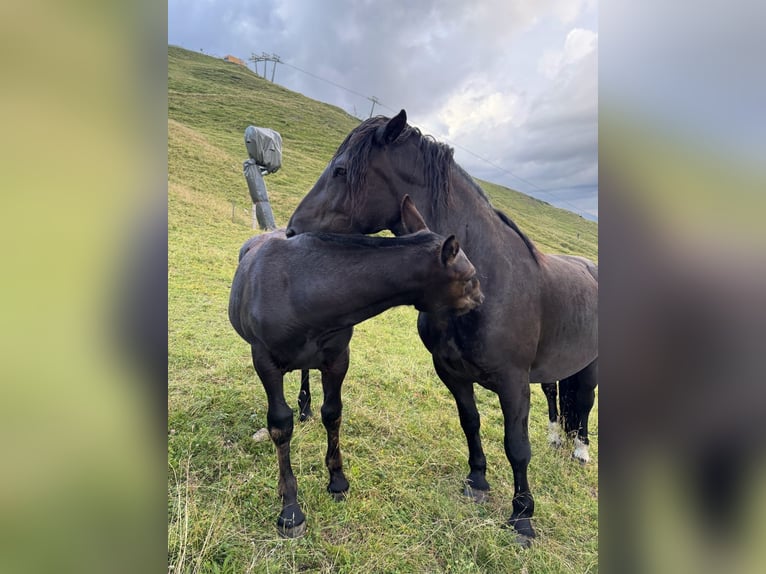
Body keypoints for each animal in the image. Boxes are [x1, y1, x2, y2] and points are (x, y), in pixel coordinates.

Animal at [229, 197, 484, 538]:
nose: (481, 298)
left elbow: (333, 413)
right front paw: (290, 509)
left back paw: (305, 405)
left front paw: (337, 480)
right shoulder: (265, 361)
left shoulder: (338, 358)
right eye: (469, 275)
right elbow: (280, 425)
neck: (303, 289)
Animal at [286, 110, 598, 545]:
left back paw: (580, 451)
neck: (489, 276)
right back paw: (557, 439)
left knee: (583, 405)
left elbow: (517, 446)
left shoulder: (513, 382)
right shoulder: (452, 372)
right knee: (559, 399)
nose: (291, 233)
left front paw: (522, 518)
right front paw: (478, 481)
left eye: (341, 170)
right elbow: (471, 423)